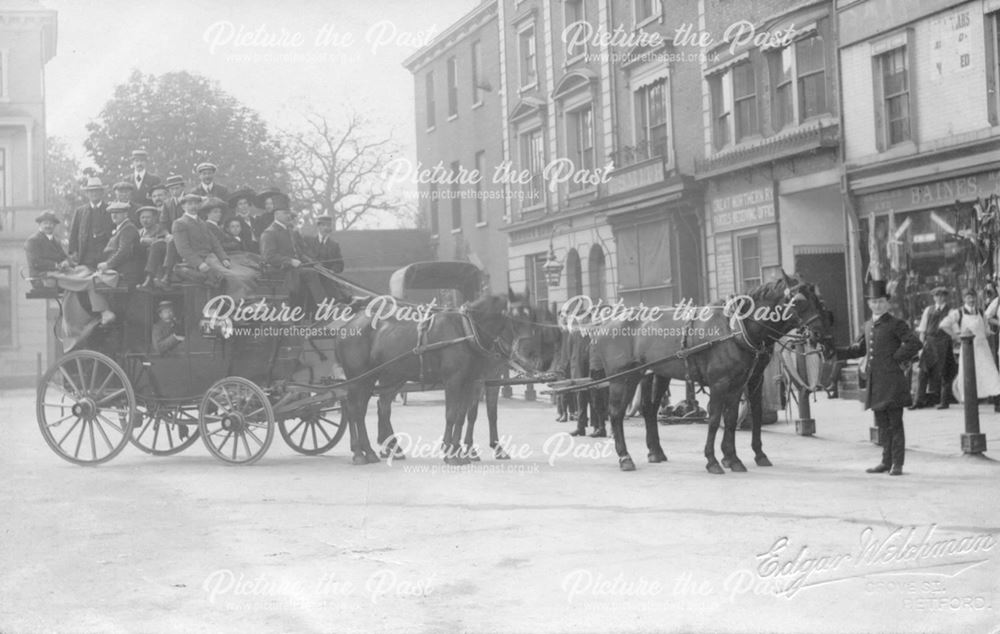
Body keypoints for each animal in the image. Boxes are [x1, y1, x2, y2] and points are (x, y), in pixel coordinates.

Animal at [336, 288, 544, 462]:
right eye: (514, 317)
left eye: (532, 315)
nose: (530, 352)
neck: (467, 330)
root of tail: (348, 324)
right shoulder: (455, 381)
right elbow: (452, 414)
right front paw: (453, 453)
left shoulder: (471, 381)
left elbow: (464, 415)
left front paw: (459, 450)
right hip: (360, 378)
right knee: (355, 409)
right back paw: (360, 452)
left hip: (388, 377)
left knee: (377, 407)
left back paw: (381, 449)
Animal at [584, 274, 832, 472]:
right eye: (798, 302)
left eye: (818, 300)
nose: (820, 333)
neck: (735, 328)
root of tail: (606, 322)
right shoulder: (720, 383)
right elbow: (714, 419)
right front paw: (713, 460)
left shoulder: (742, 382)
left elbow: (732, 418)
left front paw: (733, 458)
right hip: (622, 378)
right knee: (616, 414)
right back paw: (625, 457)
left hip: (649, 374)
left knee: (648, 409)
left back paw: (655, 452)